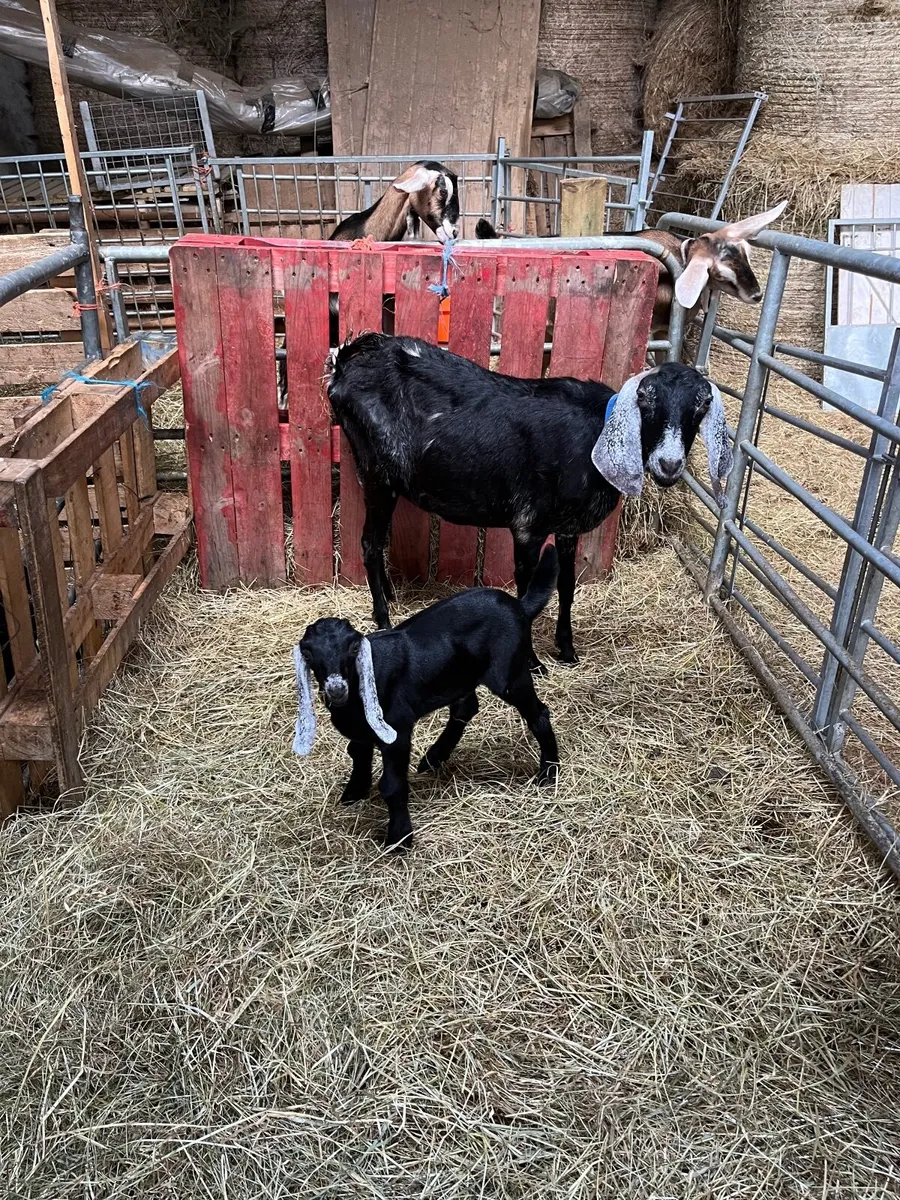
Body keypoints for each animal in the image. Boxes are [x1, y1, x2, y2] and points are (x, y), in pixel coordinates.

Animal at [293, 544, 561, 850]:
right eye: (308, 653)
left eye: (352, 649)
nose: (337, 689)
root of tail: (519, 607)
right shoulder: (361, 731)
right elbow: (358, 754)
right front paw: (354, 792)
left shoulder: (397, 729)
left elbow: (392, 785)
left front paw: (400, 837)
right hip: (460, 675)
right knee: (466, 707)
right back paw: (434, 757)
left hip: (510, 673)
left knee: (538, 713)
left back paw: (548, 773)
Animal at [327, 335, 733, 665]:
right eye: (646, 402)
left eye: (700, 407)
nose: (669, 465)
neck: (594, 436)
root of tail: (346, 361)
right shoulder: (528, 525)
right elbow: (527, 591)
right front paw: (533, 663)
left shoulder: (568, 528)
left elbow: (566, 587)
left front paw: (566, 650)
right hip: (377, 472)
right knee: (368, 543)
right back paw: (382, 620)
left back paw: (390, 597)